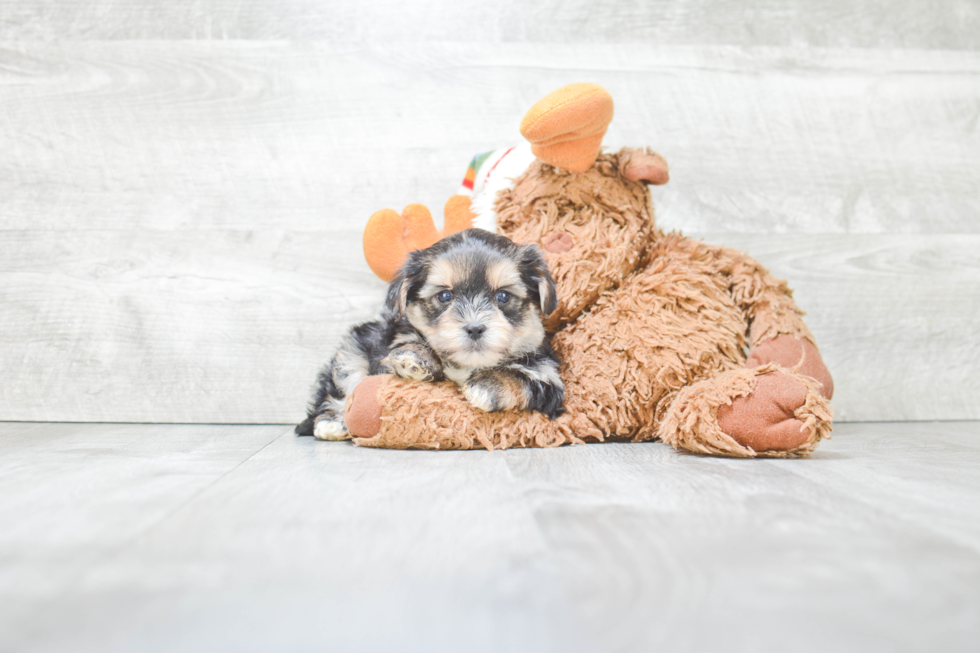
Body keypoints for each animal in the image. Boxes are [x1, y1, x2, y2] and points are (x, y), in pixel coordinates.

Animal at [294, 227, 564, 440]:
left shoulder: (549, 376)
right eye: (444, 296)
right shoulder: (386, 344)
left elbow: (524, 378)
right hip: (354, 346)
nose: (474, 327)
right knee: (344, 384)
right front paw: (415, 358)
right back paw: (332, 422)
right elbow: (406, 343)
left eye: (503, 296)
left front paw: (486, 387)